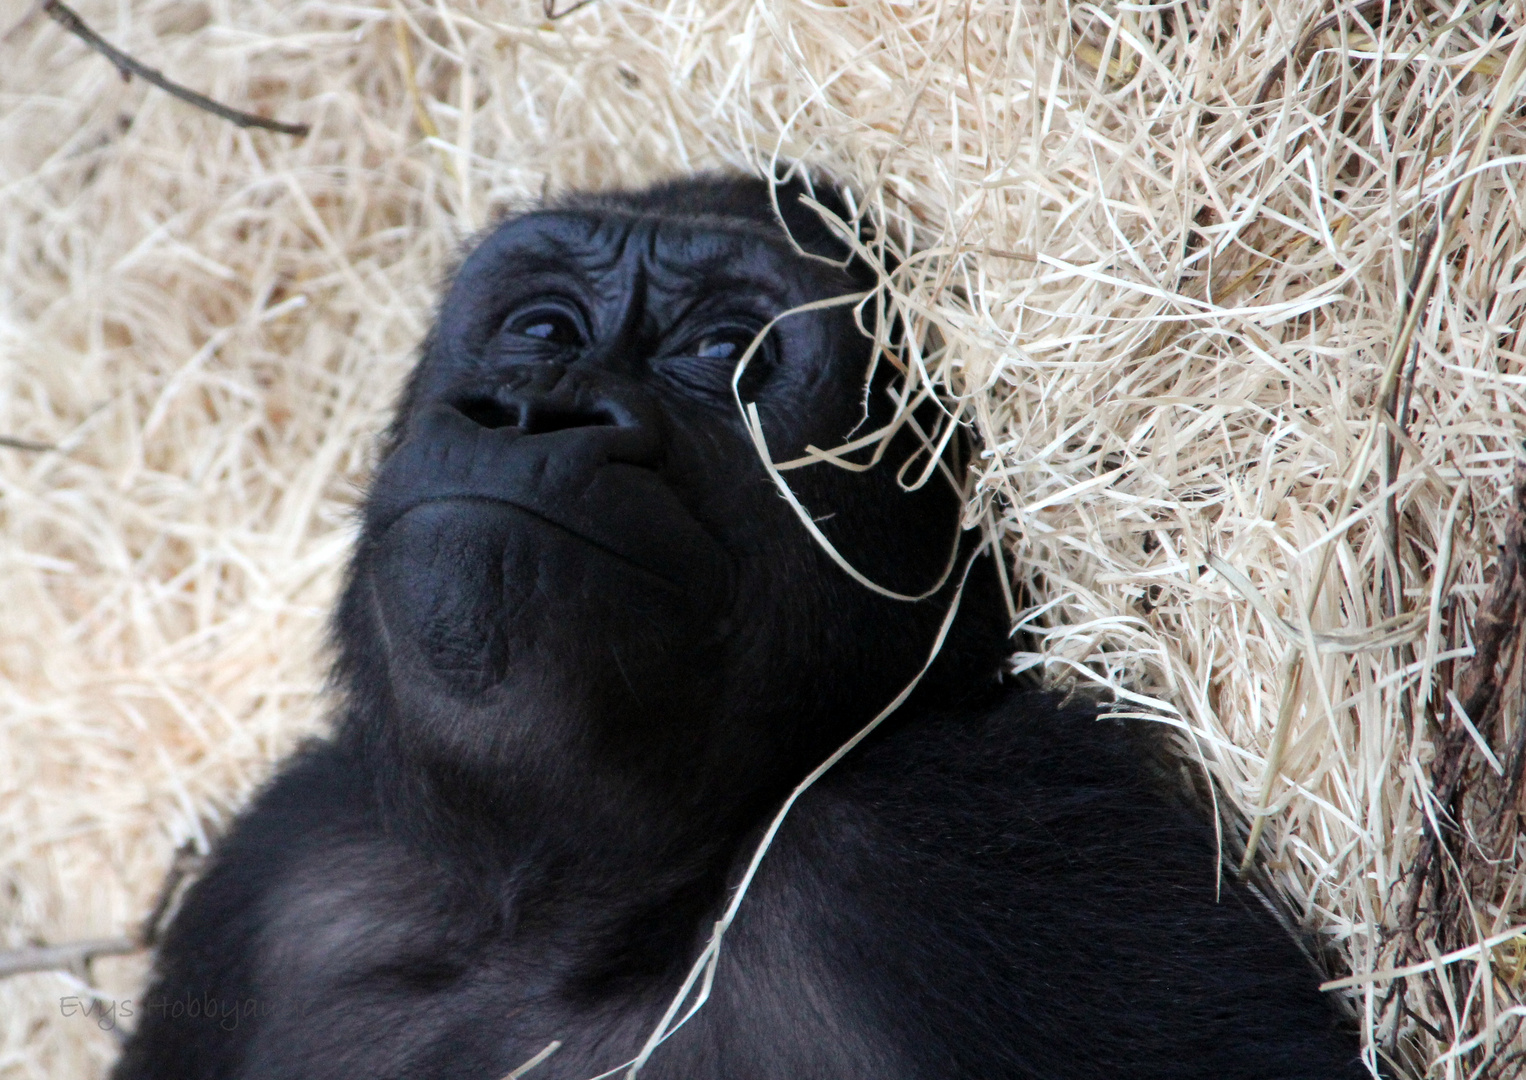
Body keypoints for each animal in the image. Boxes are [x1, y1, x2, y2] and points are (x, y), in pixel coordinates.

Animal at [112, 173, 1367, 1073]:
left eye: (724, 351)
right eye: (540, 327)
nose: (533, 407)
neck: (575, 932)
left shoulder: (976, 846)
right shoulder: (286, 880)